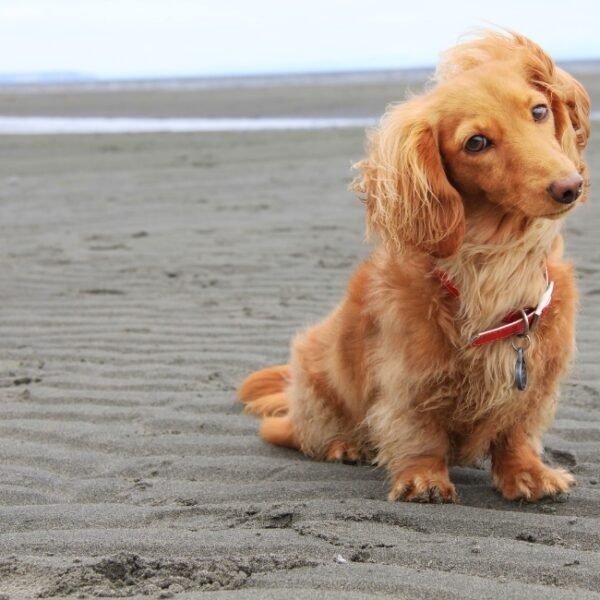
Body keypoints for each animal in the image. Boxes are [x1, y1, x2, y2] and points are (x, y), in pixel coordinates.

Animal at [236, 31, 592, 502]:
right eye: (476, 143)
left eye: (538, 111)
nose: (570, 187)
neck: (497, 264)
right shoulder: (407, 381)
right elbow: (417, 432)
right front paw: (423, 479)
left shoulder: (535, 381)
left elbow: (517, 430)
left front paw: (529, 474)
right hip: (315, 392)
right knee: (290, 433)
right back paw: (342, 445)